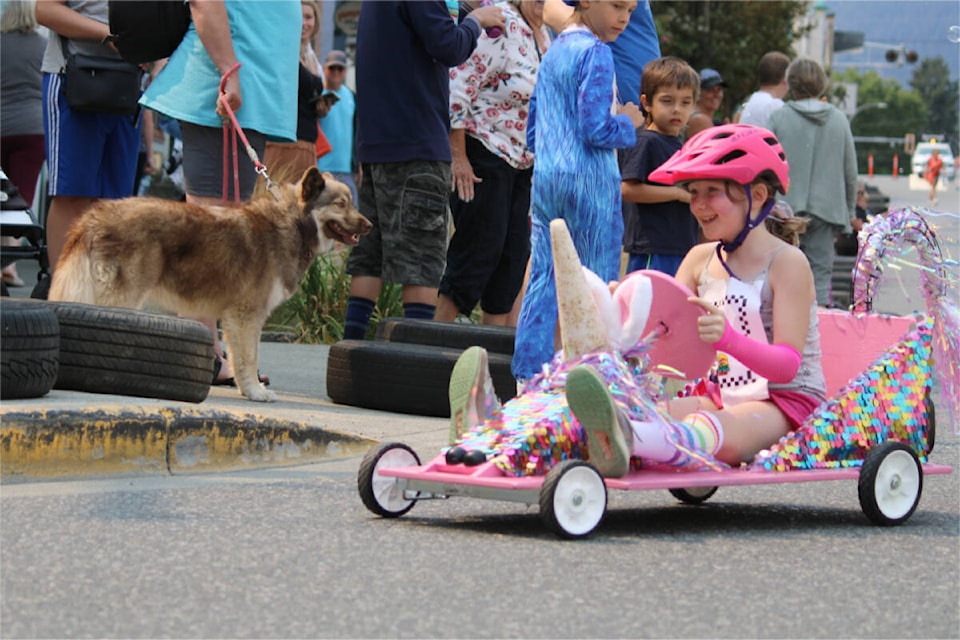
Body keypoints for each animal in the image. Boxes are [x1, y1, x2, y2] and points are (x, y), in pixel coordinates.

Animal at [47, 169, 372, 400]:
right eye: (341, 204)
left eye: (351, 203)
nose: (369, 225)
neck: (293, 222)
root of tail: (94, 216)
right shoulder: (247, 316)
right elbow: (250, 358)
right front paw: (257, 392)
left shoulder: (233, 320)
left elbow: (240, 360)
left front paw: (247, 390)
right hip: (120, 302)